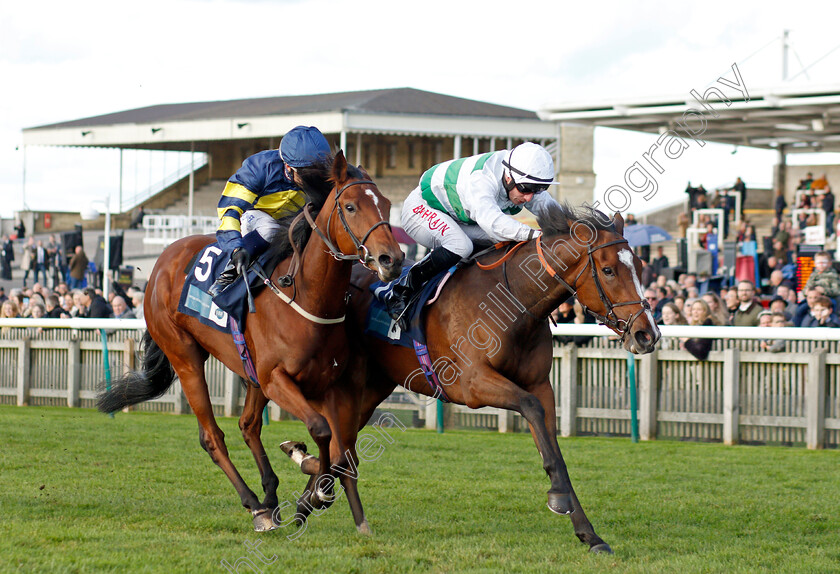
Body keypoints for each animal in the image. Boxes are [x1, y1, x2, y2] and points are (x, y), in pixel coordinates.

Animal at [95, 151, 404, 532]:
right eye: (350, 206)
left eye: (386, 204)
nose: (392, 259)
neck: (307, 297)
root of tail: (162, 262)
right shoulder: (276, 379)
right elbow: (321, 433)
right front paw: (310, 474)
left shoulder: (331, 384)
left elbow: (341, 449)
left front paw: (323, 490)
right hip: (185, 356)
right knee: (213, 437)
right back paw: (256, 506)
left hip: (250, 372)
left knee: (248, 425)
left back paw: (270, 495)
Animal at [276, 206, 664, 552]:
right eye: (609, 270)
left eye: (640, 266)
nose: (648, 334)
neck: (513, 299)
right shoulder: (472, 383)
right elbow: (531, 408)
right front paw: (558, 497)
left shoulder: (542, 385)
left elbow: (553, 445)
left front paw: (589, 533)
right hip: (352, 382)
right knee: (341, 443)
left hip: (375, 385)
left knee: (342, 444)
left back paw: (309, 495)